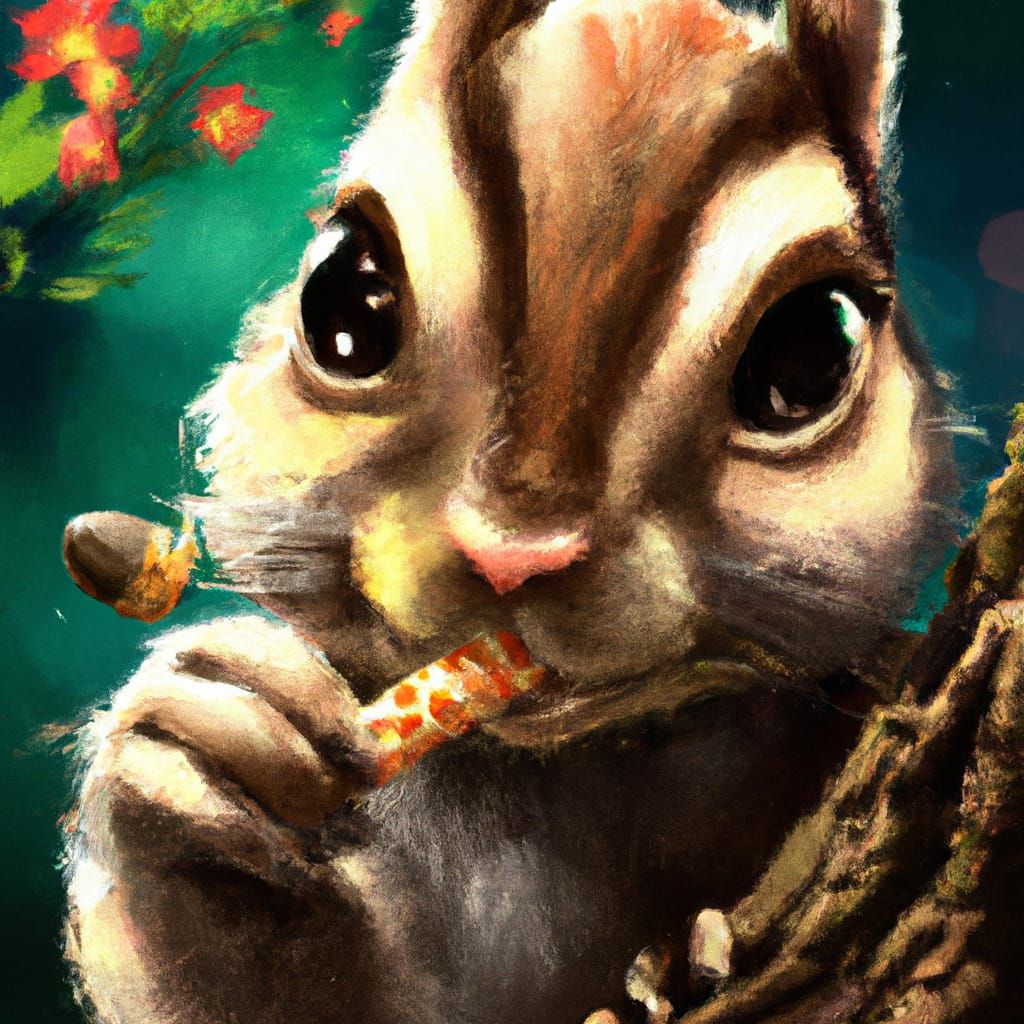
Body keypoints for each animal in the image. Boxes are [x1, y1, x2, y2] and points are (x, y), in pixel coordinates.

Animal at [61, 0, 957, 1021]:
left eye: (811, 355)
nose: (513, 554)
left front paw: (689, 951)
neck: (575, 764)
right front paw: (197, 756)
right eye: (342, 293)